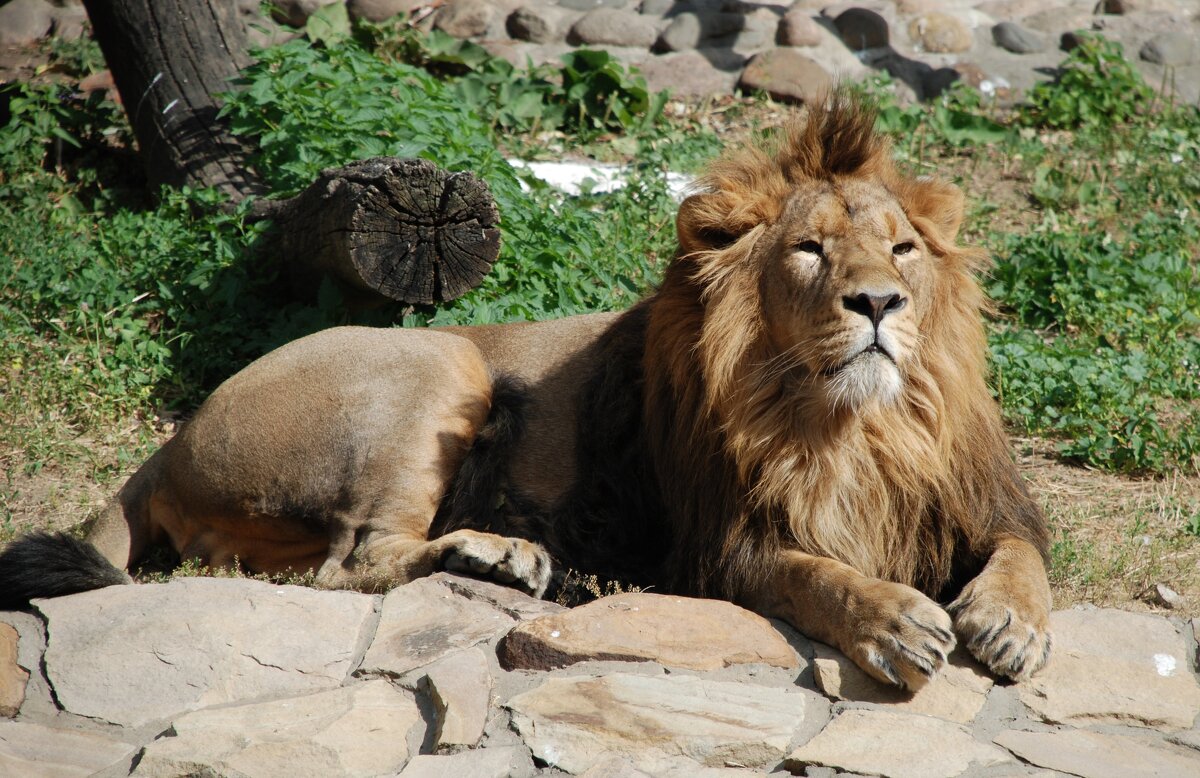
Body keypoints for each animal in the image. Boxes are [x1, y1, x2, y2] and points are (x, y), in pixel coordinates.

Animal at [0, 95, 1051, 686]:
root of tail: (166, 445)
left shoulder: (975, 499)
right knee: (354, 563)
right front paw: (895, 624)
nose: (879, 302)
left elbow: (1021, 556)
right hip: (441, 364)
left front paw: (1008, 625)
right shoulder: (720, 545)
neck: (852, 425)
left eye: (902, 248)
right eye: (809, 250)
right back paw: (505, 557)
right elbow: (817, 575)